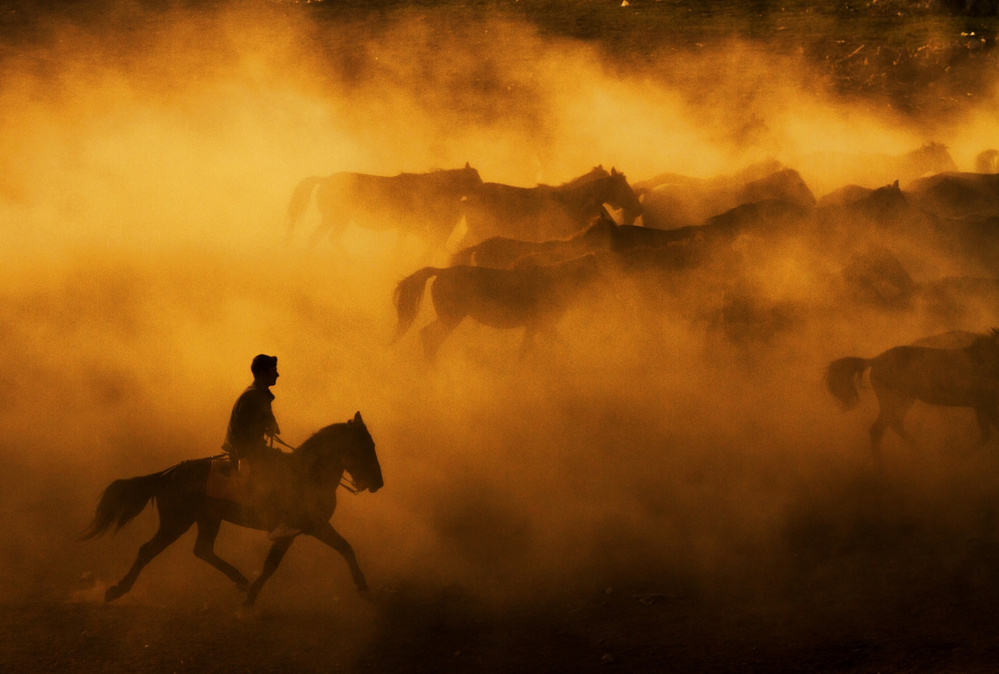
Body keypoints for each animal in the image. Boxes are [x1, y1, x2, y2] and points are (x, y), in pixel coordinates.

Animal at [82, 412, 382, 608]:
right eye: (365, 447)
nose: (378, 483)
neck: (307, 474)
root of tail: (168, 473)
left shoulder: (294, 531)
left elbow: (273, 564)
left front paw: (250, 596)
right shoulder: (313, 526)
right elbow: (344, 548)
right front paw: (364, 590)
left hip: (207, 519)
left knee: (202, 550)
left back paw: (239, 579)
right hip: (176, 522)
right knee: (148, 550)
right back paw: (117, 591)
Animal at [288, 165, 482, 252]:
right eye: (474, 179)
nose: (484, 188)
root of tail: (325, 179)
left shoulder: (406, 229)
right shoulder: (413, 228)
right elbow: (429, 243)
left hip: (341, 220)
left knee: (329, 238)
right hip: (335, 219)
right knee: (318, 237)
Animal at [394, 253, 604, 360]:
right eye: (598, 272)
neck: (558, 278)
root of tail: (441, 271)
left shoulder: (536, 327)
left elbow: (528, 350)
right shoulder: (542, 325)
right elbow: (555, 347)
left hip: (451, 318)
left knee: (428, 337)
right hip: (452, 318)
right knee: (429, 337)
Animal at [824, 330, 999, 452]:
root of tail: (876, 360)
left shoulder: (982, 405)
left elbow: (986, 434)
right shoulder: (983, 404)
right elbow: (986, 434)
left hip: (902, 400)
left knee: (893, 425)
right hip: (896, 400)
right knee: (879, 430)